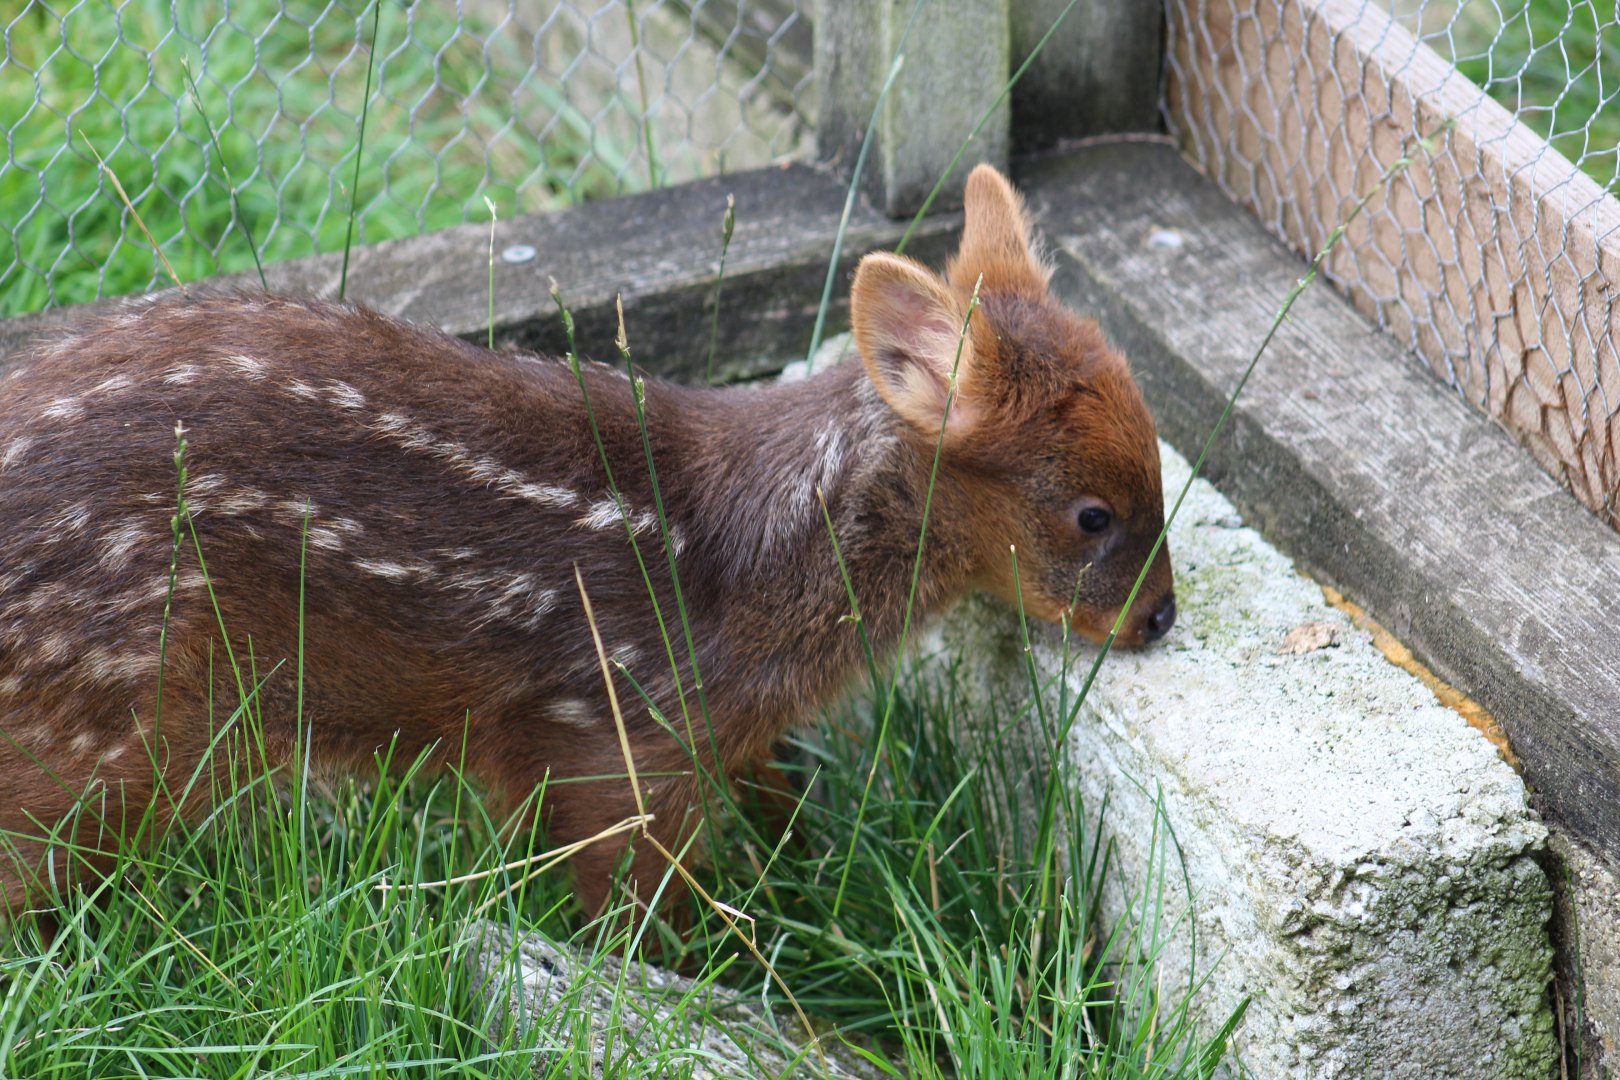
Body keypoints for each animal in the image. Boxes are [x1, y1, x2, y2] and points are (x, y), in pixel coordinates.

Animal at [0, 165, 1175, 925]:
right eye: (1092, 514)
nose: (1161, 618)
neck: (754, 579)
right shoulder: (617, 740)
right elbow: (639, 917)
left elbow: (782, 799)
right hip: (107, 720)